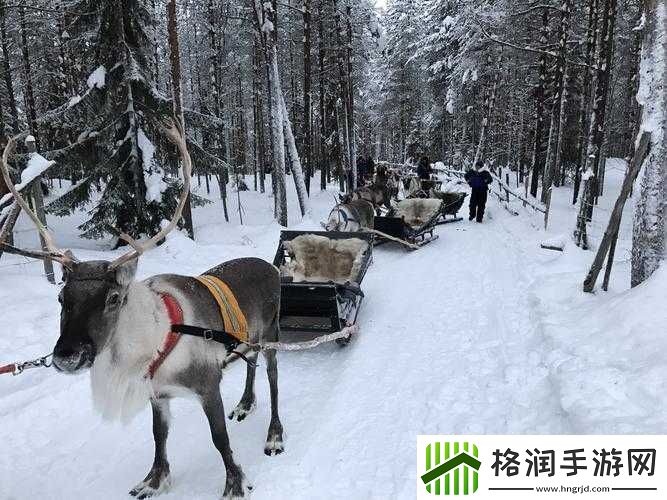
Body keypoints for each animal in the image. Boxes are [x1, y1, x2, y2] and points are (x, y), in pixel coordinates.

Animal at [0, 121, 283, 500]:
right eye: (61, 298)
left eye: (113, 298)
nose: (67, 356)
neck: (155, 340)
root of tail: (272, 266)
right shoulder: (158, 394)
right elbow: (158, 436)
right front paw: (154, 479)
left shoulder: (208, 385)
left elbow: (219, 439)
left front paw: (235, 483)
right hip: (247, 340)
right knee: (250, 365)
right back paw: (245, 404)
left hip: (271, 335)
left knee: (273, 378)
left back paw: (275, 436)